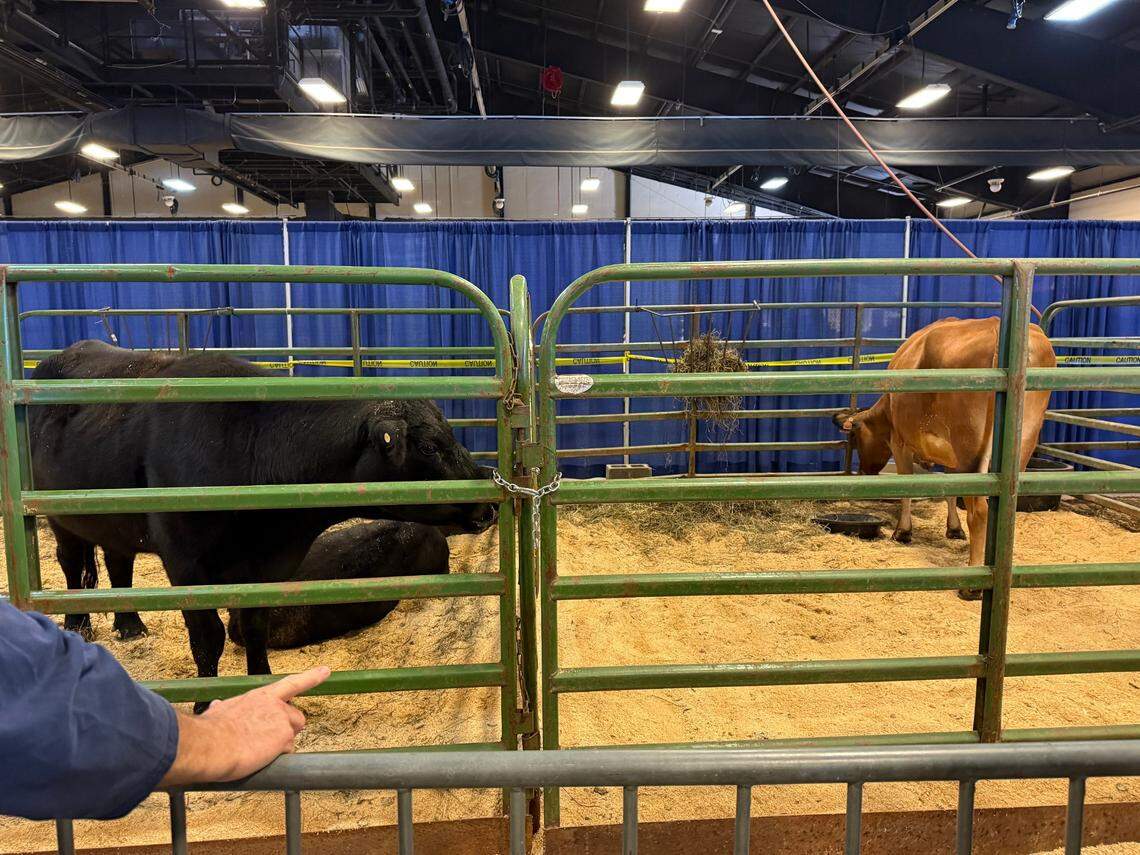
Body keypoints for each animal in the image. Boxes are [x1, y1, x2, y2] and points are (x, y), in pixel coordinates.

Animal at [833, 317, 1055, 574]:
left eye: (857, 439)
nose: (863, 470)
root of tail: (996, 326)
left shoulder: (900, 442)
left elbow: (907, 487)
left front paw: (903, 531)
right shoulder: (951, 455)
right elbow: (950, 489)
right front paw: (954, 528)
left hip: (969, 449)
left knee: (979, 510)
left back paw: (974, 573)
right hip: (1022, 444)